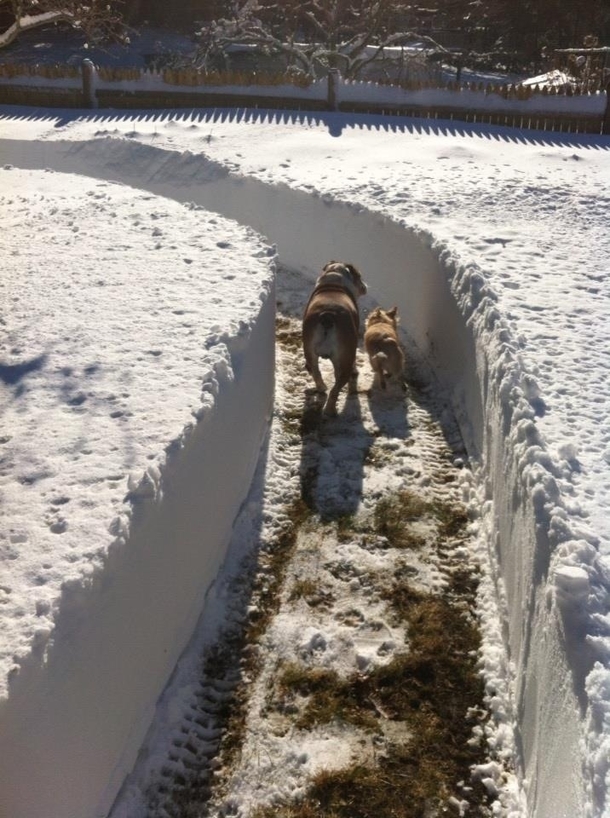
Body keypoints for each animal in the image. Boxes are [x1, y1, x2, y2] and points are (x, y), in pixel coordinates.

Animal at [300, 262, 366, 414]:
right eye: (359, 276)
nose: (364, 286)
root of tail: (328, 314)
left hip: (310, 351)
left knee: (315, 371)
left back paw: (321, 388)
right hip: (344, 362)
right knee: (336, 388)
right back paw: (330, 411)